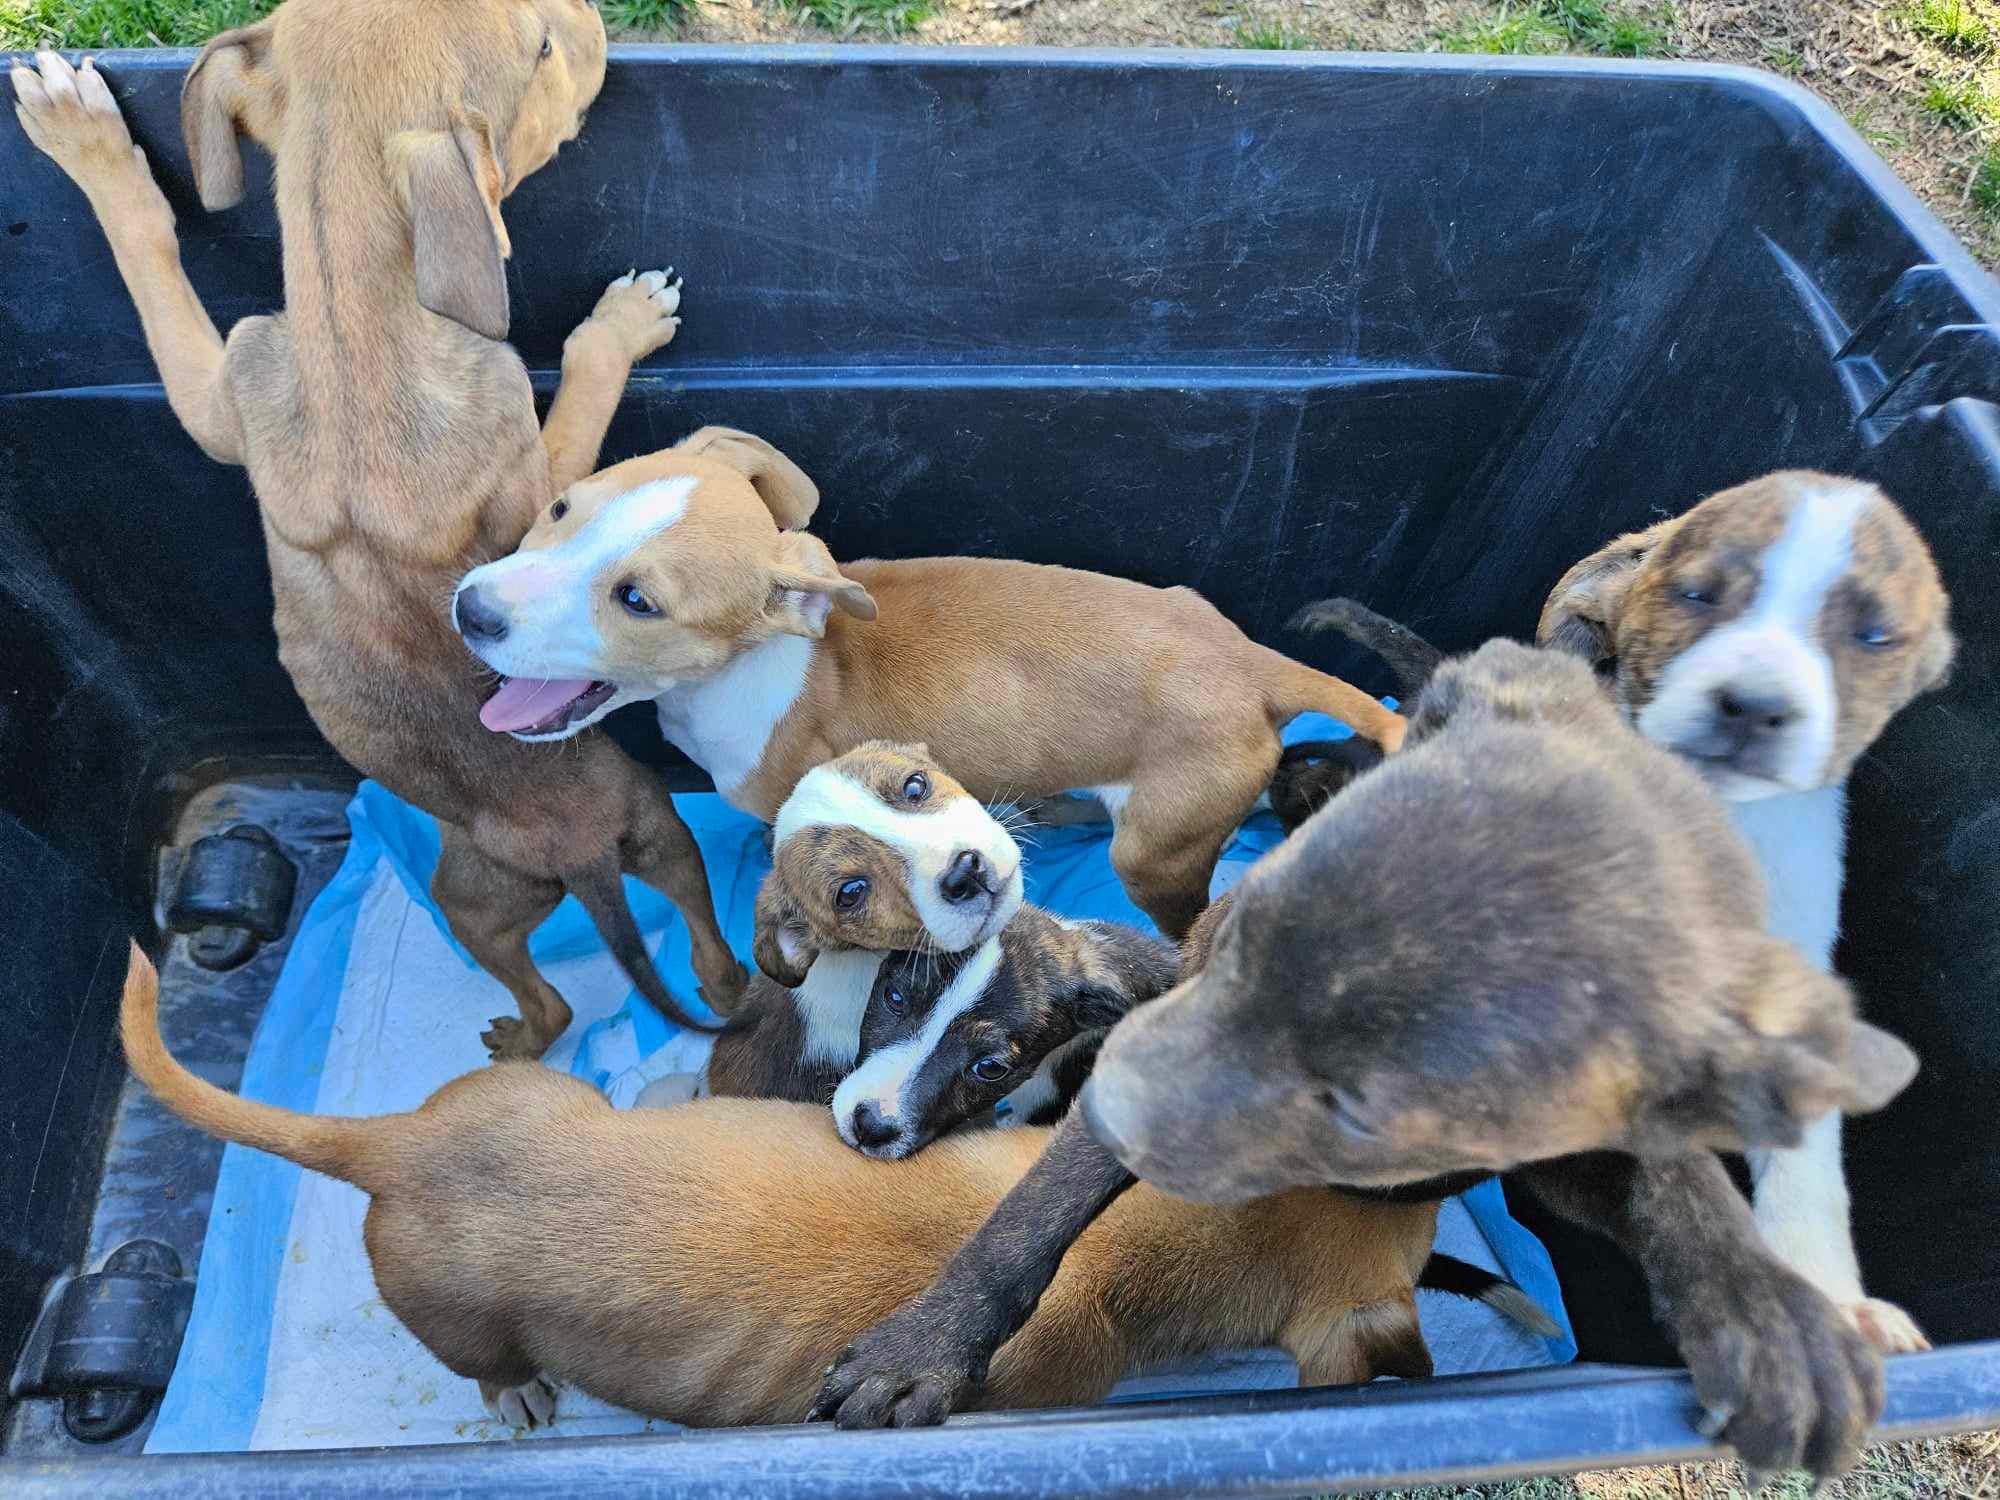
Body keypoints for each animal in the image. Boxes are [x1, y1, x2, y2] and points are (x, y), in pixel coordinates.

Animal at [11, 2, 748, 1056]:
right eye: (542, 48)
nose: (594, 18)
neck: (356, 319)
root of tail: (583, 857)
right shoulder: (537, 475)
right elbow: (581, 389)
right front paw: (621, 324)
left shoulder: (216, 394)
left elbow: (154, 253)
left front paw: (83, 136)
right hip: (536, 880)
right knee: (576, 1001)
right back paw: (520, 1039)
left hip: (652, 839)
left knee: (702, 973)